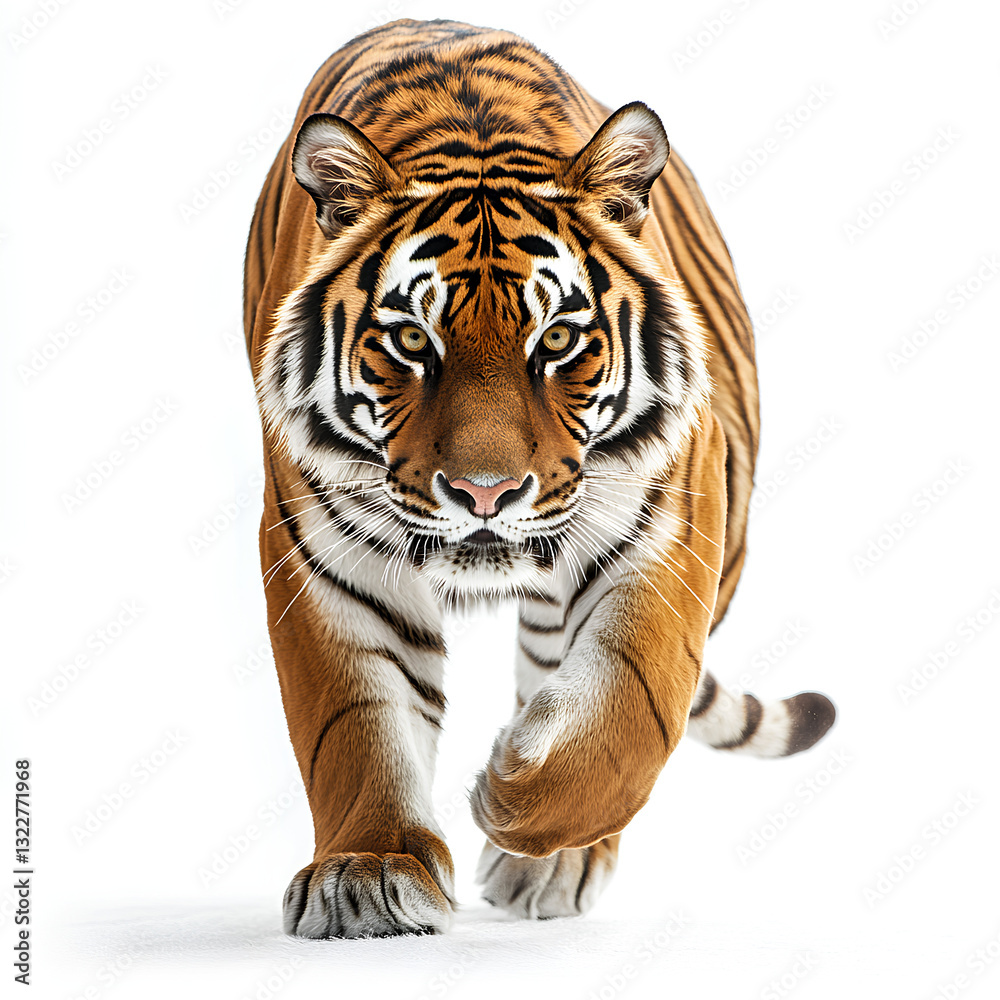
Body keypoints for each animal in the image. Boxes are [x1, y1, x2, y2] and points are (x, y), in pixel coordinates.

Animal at [242, 18, 836, 939]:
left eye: (556, 340)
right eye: (411, 341)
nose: (484, 493)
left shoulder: (671, 522)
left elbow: (632, 701)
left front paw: (516, 799)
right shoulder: (320, 551)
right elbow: (354, 720)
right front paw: (367, 872)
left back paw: (551, 857)